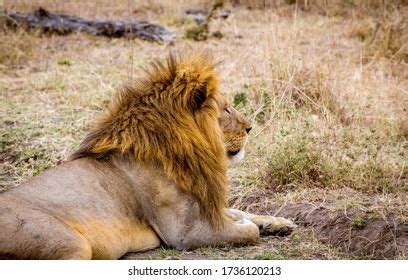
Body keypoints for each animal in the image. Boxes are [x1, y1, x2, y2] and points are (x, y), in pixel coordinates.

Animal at [0, 53, 294, 260]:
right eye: (226, 109)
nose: (250, 127)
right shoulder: (183, 233)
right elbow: (247, 230)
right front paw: (246, 224)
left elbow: (241, 211)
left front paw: (278, 223)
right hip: (68, 243)